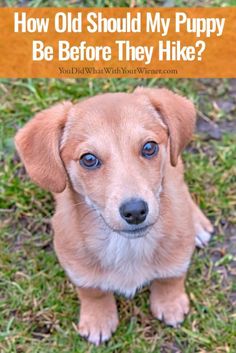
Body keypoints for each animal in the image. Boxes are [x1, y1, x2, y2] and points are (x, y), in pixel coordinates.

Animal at [15, 87, 213, 344]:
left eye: (149, 147)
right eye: (88, 159)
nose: (135, 211)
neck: (126, 245)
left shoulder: (177, 247)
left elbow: (171, 276)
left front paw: (170, 304)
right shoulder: (74, 260)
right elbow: (92, 290)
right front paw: (98, 319)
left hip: (174, 167)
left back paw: (198, 223)